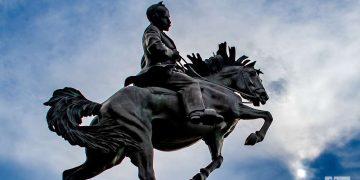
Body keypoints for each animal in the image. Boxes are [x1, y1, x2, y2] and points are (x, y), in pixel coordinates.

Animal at [43, 43, 272, 179]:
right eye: (253, 74)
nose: (264, 96)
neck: (216, 85)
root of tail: (102, 106)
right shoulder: (236, 108)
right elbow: (267, 116)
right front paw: (255, 137)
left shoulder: (214, 135)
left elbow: (218, 159)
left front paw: (200, 174)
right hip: (141, 140)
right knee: (146, 173)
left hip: (107, 155)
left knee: (69, 174)